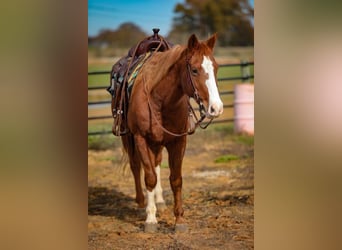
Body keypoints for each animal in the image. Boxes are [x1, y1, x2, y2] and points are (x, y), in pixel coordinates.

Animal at [121, 33, 223, 232]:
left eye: (216, 68)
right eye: (194, 70)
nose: (216, 108)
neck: (159, 99)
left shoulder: (178, 141)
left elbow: (175, 179)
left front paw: (179, 220)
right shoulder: (140, 138)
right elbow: (149, 177)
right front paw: (150, 219)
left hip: (157, 143)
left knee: (156, 164)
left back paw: (159, 201)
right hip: (129, 138)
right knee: (136, 166)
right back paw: (141, 202)